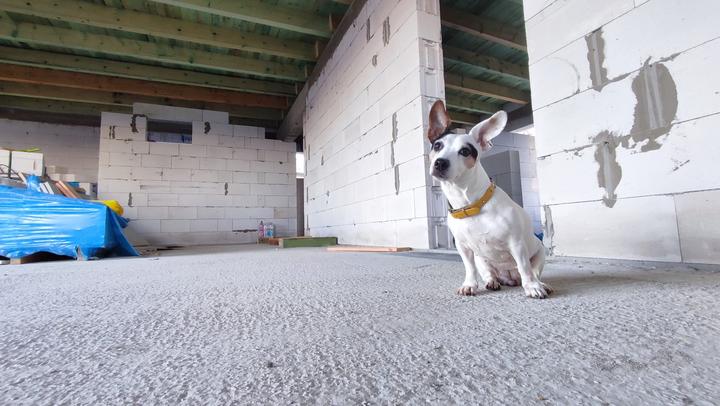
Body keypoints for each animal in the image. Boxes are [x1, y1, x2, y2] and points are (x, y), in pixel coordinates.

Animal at [427, 100, 552, 299]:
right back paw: (491, 282)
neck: (471, 204)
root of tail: (510, 278)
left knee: (531, 271)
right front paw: (469, 284)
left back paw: (538, 283)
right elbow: (469, 268)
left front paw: (532, 287)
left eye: (465, 151)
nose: (440, 162)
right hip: (482, 260)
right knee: (488, 273)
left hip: (540, 253)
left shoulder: (516, 244)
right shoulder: (464, 248)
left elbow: (525, 267)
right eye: (437, 145)